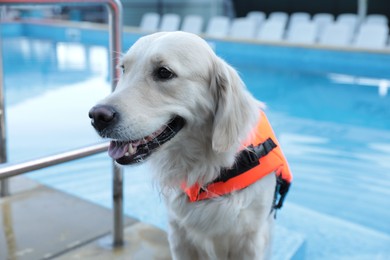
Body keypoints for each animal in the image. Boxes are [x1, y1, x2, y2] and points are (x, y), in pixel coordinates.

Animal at [88, 31, 290, 258]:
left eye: (164, 72)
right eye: (124, 68)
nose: (97, 116)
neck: (208, 170)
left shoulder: (251, 241)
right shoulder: (179, 236)